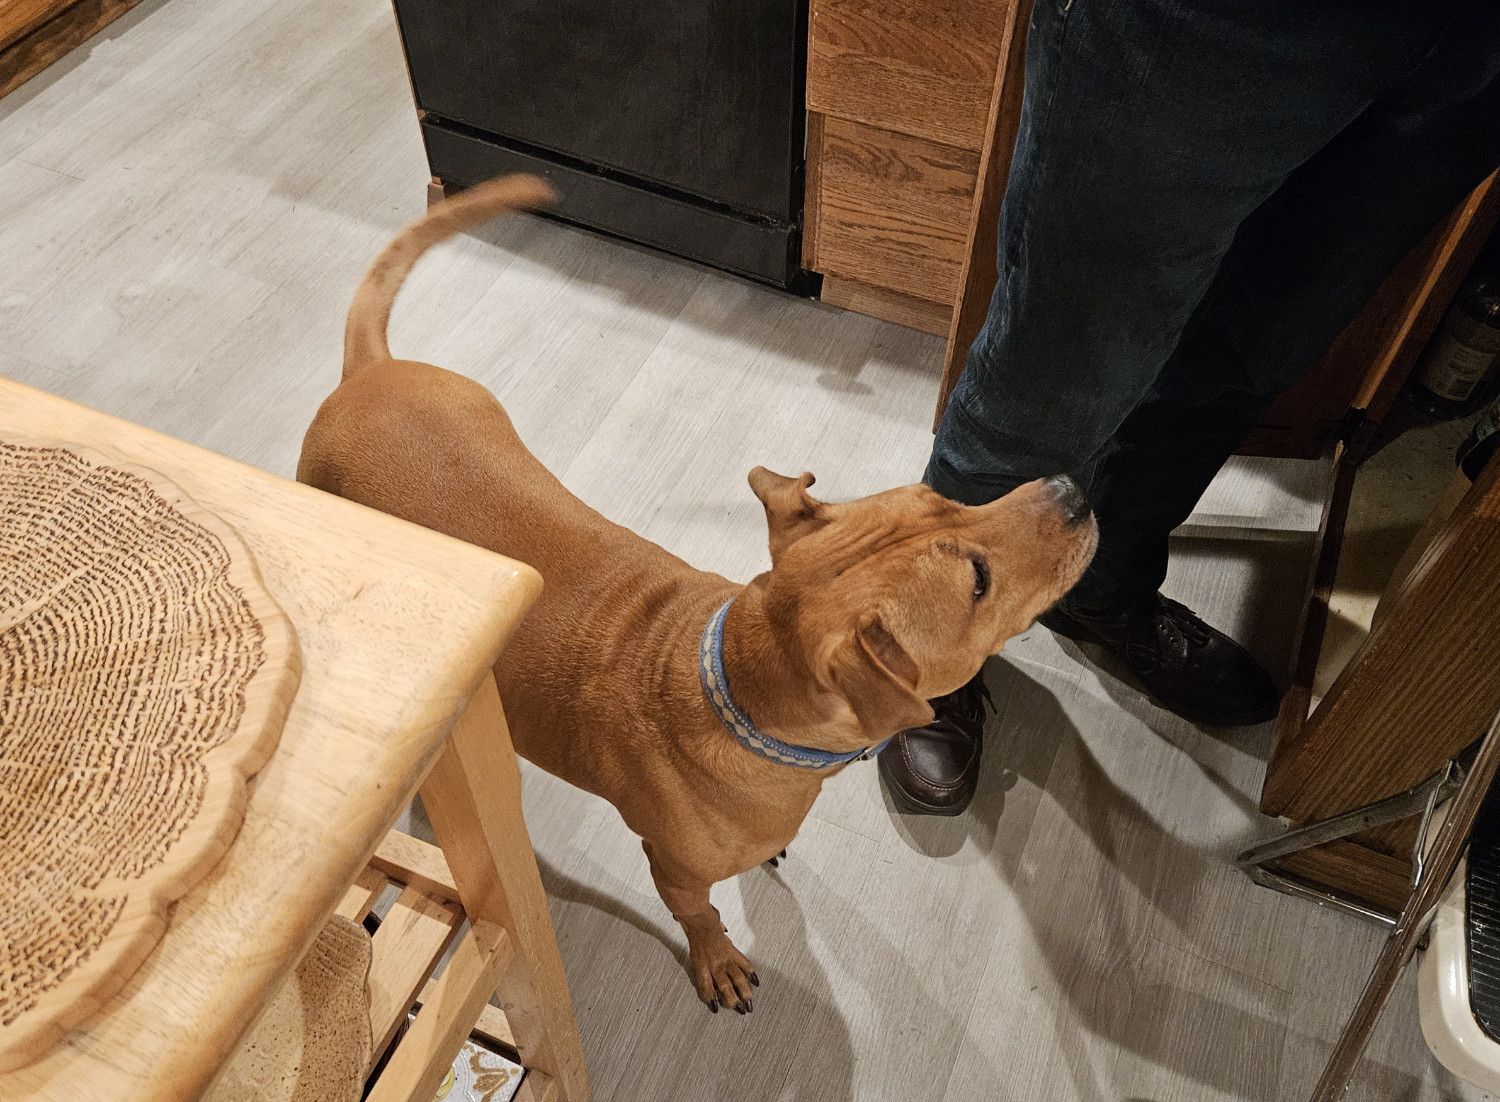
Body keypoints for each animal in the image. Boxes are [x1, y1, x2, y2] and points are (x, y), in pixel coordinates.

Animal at [298, 176, 1098, 1013]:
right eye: (977, 580)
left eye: (945, 498)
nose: (1074, 489)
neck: (740, 686)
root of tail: (366, 372)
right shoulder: (676, 870)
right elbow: (703, 914)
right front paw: (717, 957)